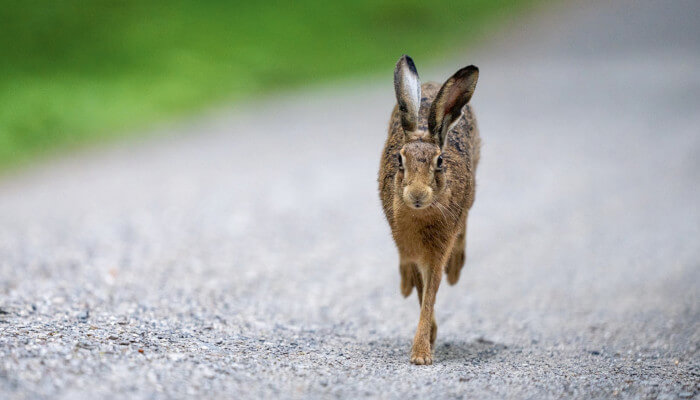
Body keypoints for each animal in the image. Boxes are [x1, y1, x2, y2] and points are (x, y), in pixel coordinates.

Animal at [378, 55, 480, 365]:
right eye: (400, 160)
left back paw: (456, 270)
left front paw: (422, 354)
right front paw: (428, 343)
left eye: (440, 161)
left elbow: (430, 294)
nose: (417, 194)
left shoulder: (438, 250)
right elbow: (422, 290)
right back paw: (403, 286)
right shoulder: (408, 247)